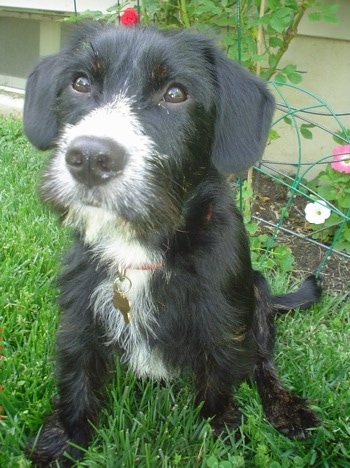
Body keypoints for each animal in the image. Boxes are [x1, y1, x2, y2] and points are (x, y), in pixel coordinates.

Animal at [23, 22, 322, 464]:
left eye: (176, 93)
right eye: (80, 83)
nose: (90, 158)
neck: (140, 247)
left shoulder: (223, 329)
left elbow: (218, 389)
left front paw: (222, 434)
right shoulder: (79, 319)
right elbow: (76, 382)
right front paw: (62, 441)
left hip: (256, 292)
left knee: (264, 362)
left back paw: (286, 407)